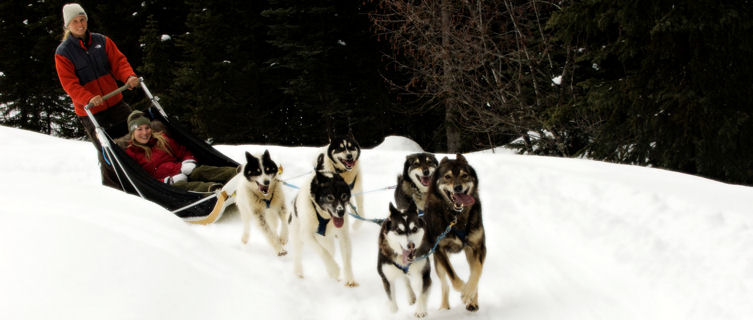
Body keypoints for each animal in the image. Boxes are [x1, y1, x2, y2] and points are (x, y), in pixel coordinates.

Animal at [290, 154, 356, 286]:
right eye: (329, 197)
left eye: (344, 196)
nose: (341, 212)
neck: (323, 216)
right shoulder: (306, 234)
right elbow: (322, 252)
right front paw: (334, 270)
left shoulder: (343, 235)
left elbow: (346, 257)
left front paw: (349, 278)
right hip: (297, 235)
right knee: (298, 254)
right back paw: (298, 273)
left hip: (328, 240)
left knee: (330, 250)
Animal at [424, 154, 488, 312]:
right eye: (447, 176)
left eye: (464, 175)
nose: (458, 188)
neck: (456, 216)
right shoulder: (439, 249)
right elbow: (452, 276)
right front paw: (464, 291)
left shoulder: (478, 247)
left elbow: (477, 271)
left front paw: (469, 294)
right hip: (438, 261)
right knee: (445, 284)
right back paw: (444, 306)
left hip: (469, 252)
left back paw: (473, 301)